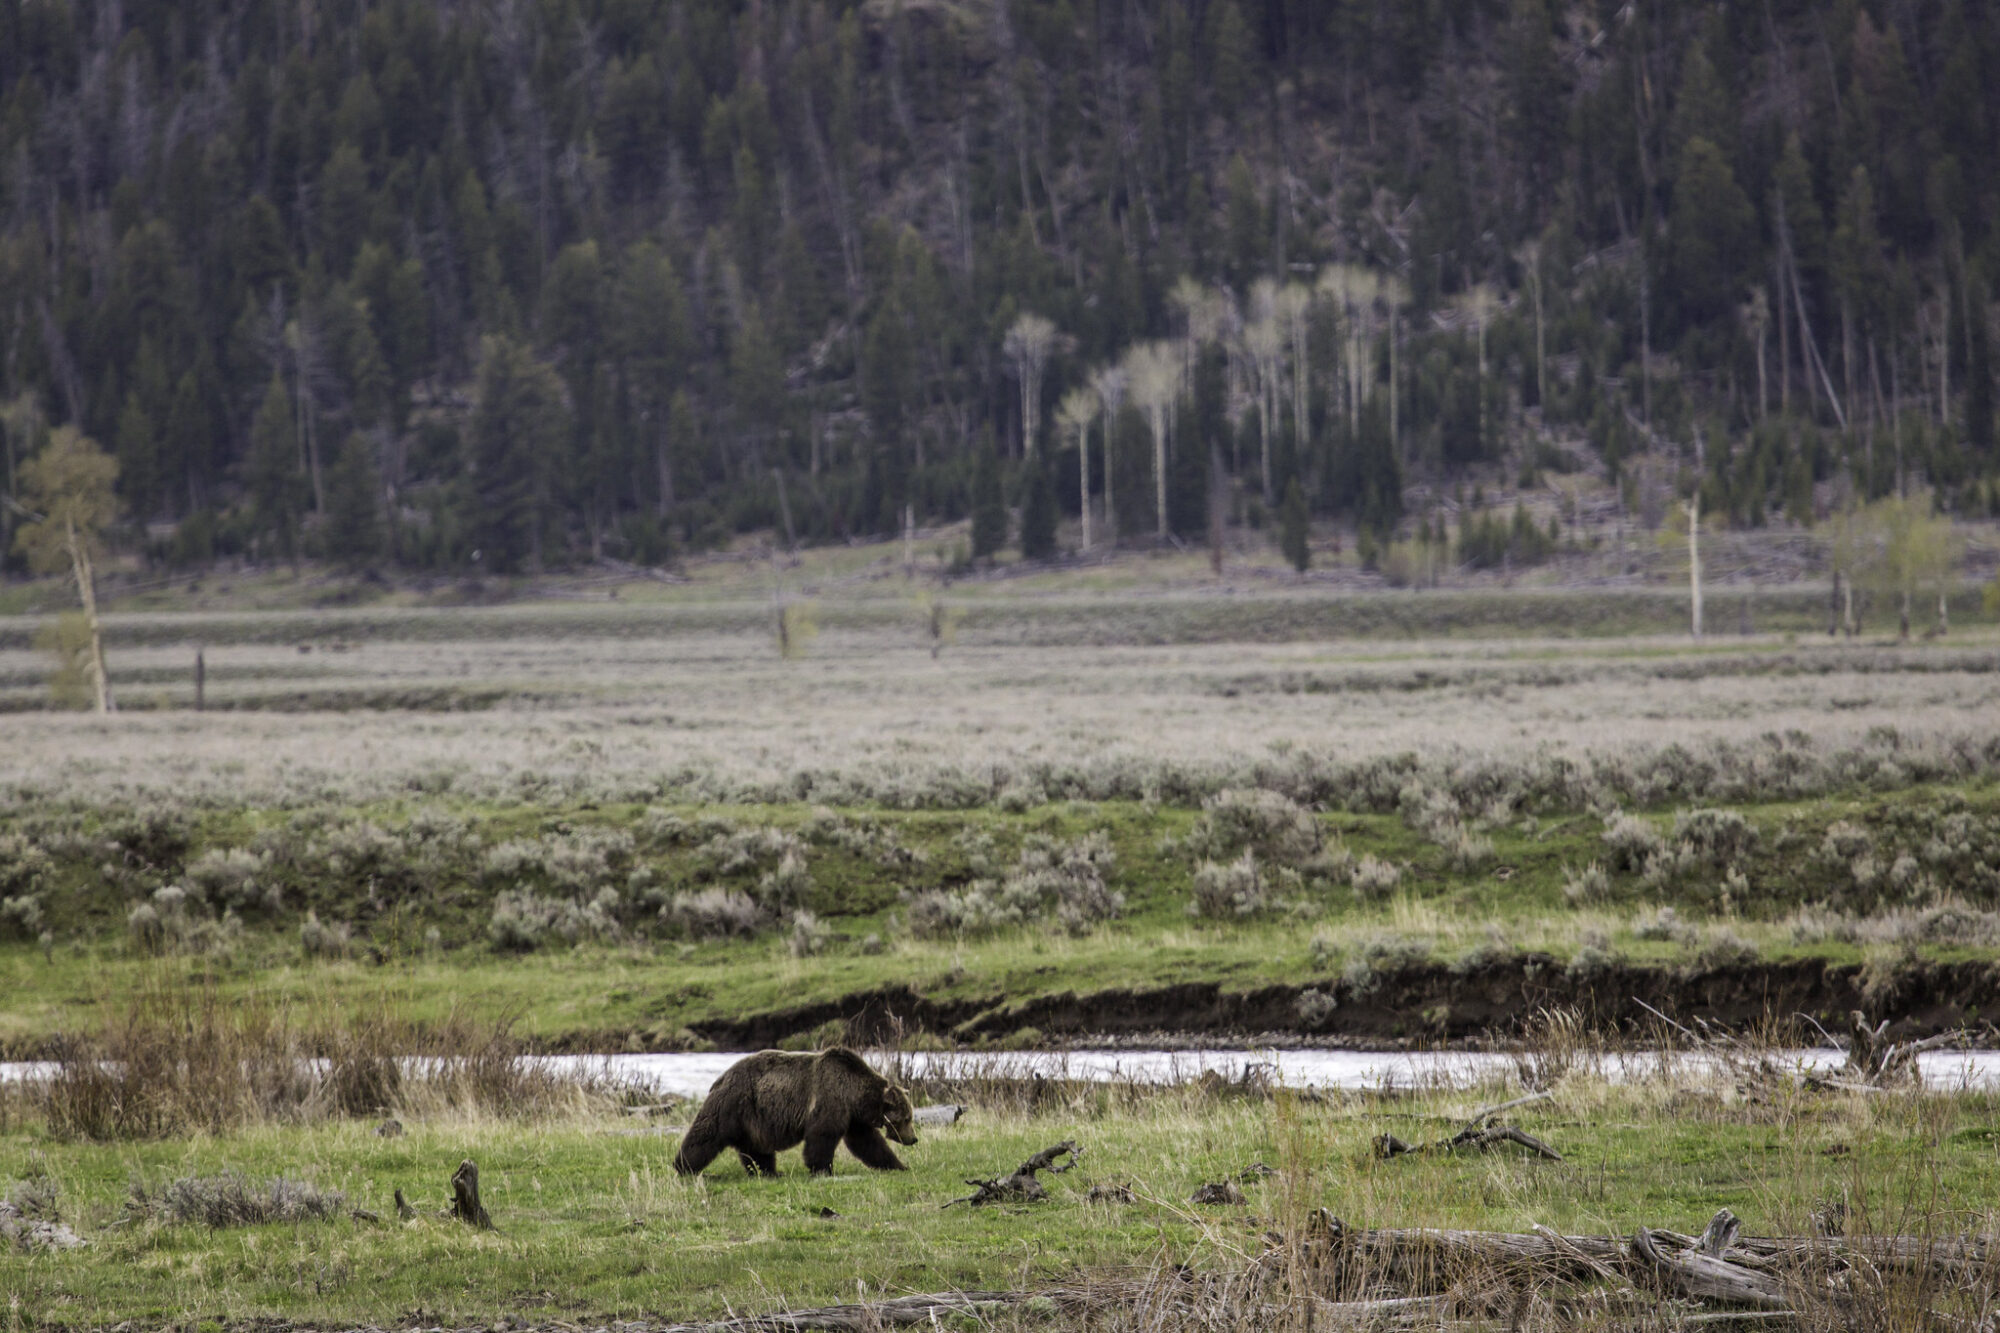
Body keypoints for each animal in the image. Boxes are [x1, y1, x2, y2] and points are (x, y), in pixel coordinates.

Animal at [672, 1048, 920, 1176]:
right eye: (907, 1117)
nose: (913, 1138)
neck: (854, 1095)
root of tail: (721, 1077)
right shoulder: (830, 1100)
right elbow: (822, 1136)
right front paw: (822, 1169)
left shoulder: (854, 1118)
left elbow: (869, 1143)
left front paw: (899, 1165)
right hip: (734, 1104)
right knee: (707, 1134)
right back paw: (683, 1166)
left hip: (753, 1120)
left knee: (756, 1149)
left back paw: (769, 1172)